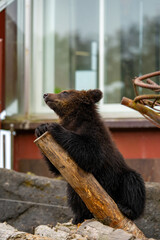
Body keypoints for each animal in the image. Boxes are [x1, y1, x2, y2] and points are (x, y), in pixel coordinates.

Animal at [35, 89, 146, 224]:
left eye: (65, 92)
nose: (45, 95)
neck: (75, 119)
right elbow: (55, 165)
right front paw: (41, 127)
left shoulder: (94, 133)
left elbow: (91, 155)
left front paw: (54, 127)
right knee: (74, 193)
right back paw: (79, 216)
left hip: (118, 179)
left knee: (132, 182)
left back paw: (127, 209)